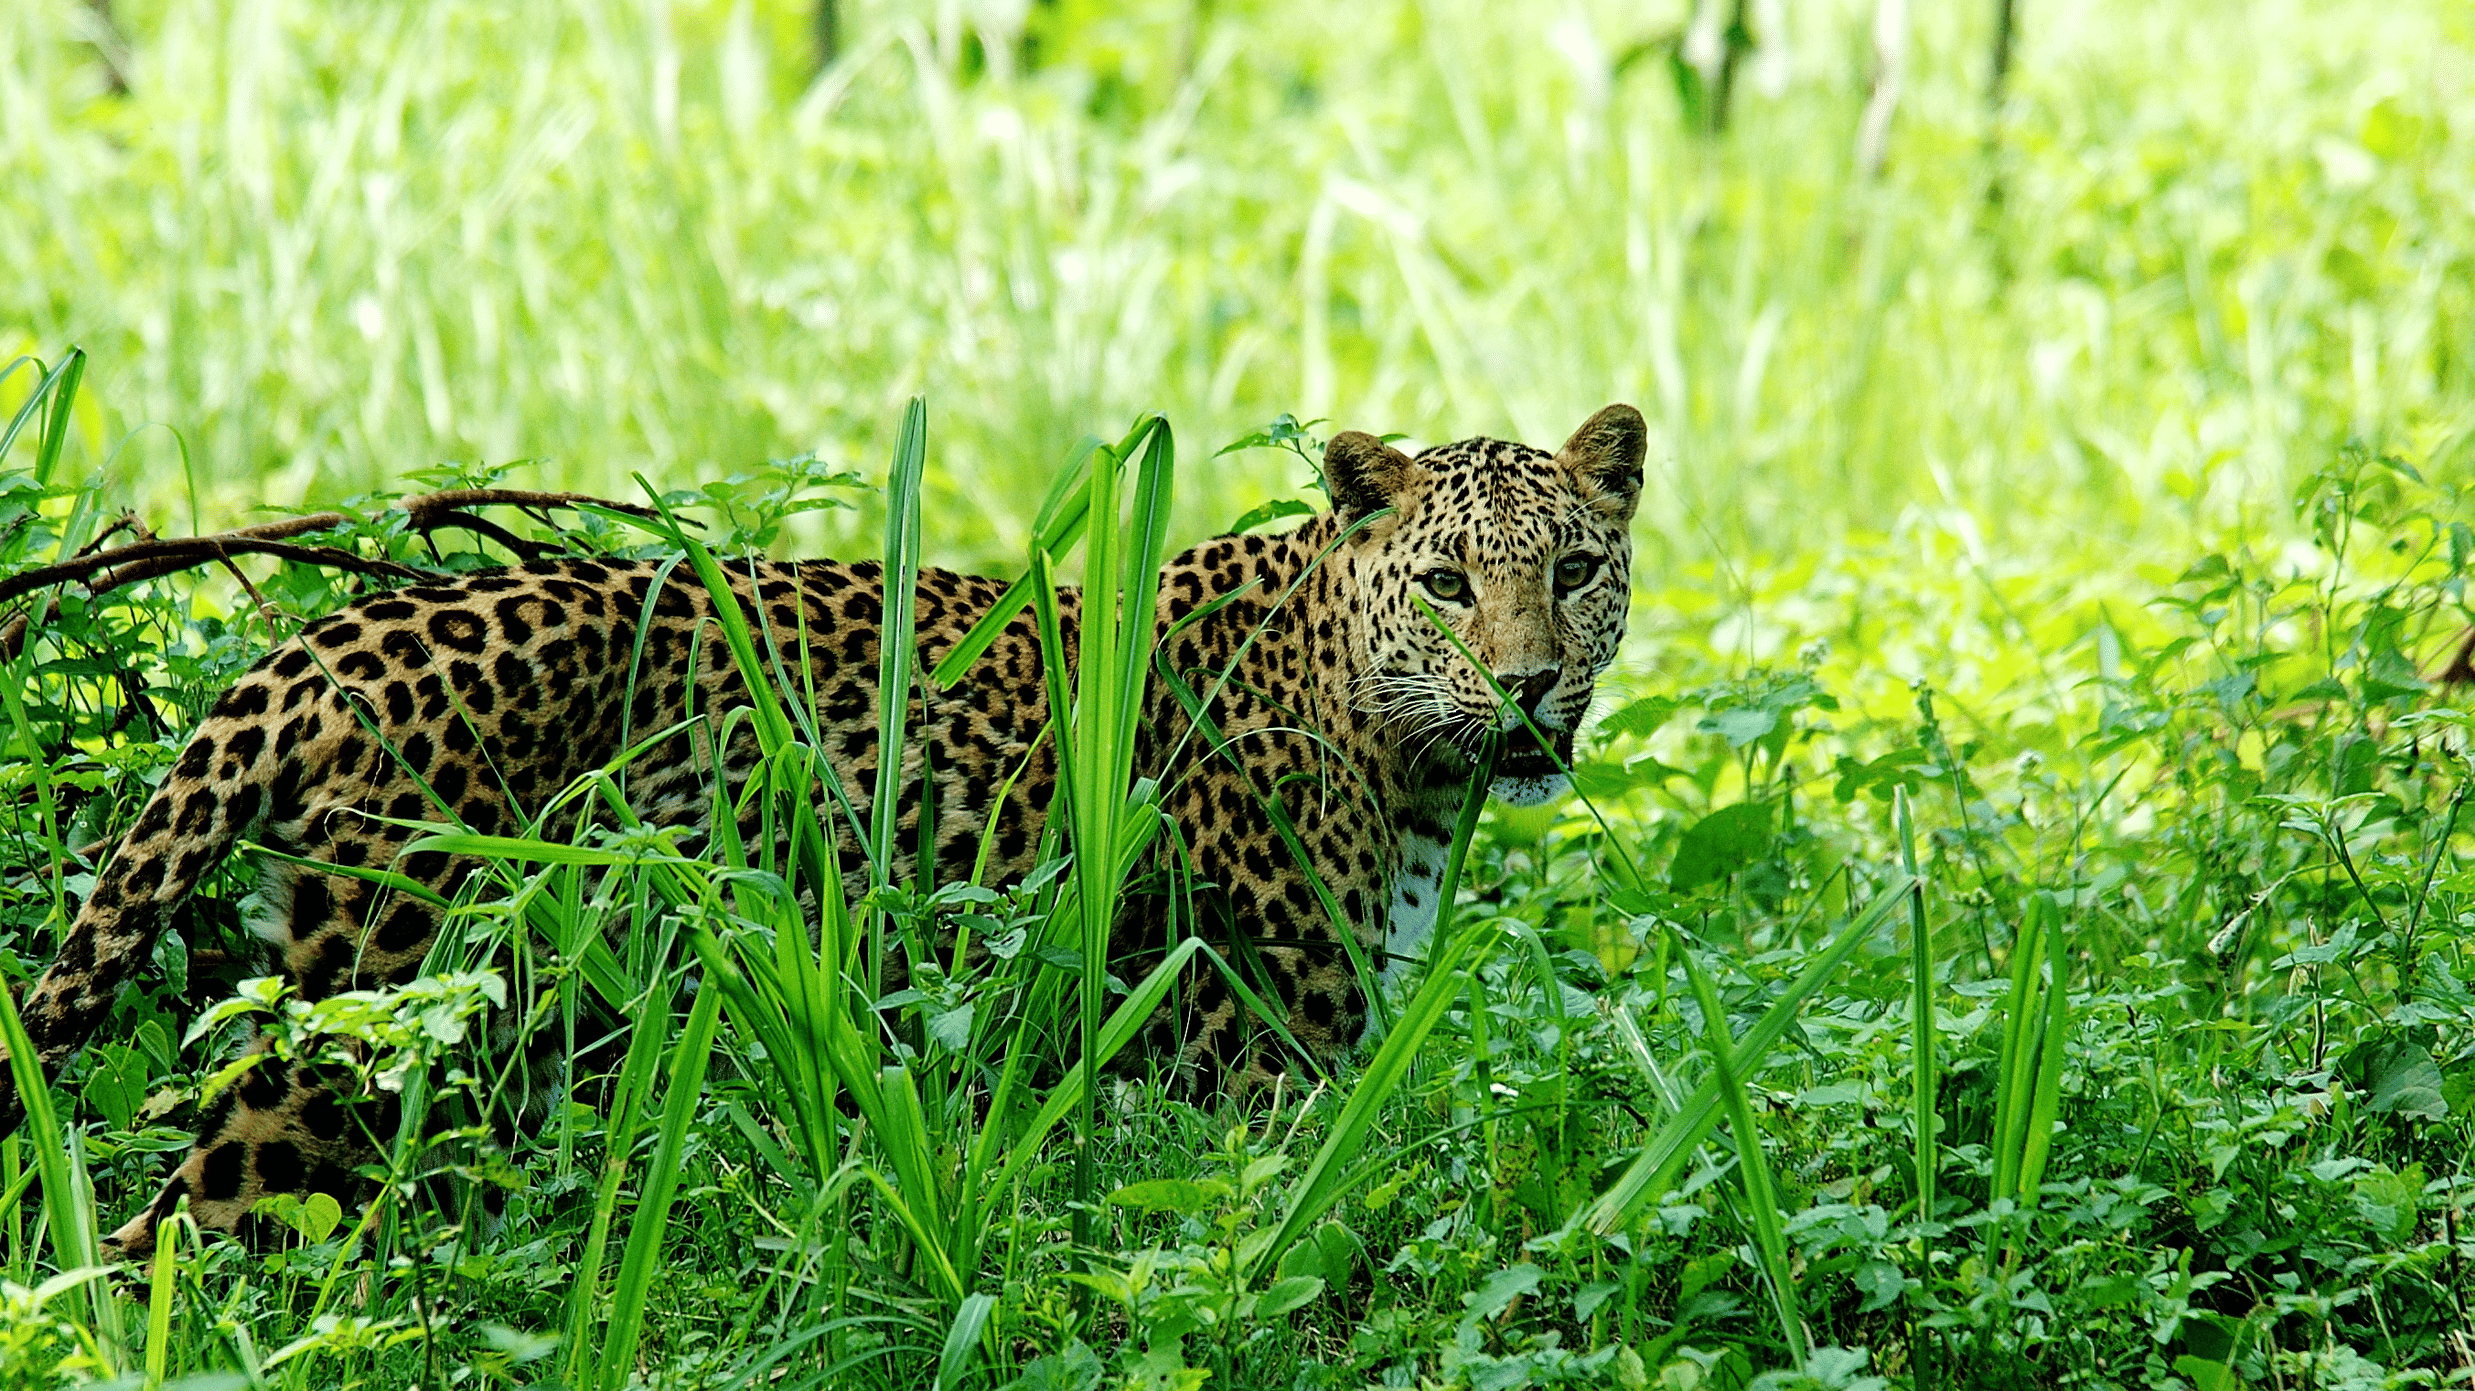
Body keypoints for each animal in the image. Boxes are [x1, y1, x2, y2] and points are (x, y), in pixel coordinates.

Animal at [0, 404, 1645, 1257]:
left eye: (1572, 570)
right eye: (1446, 584)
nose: (1525, 682)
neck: (1402, 756)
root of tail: (342, 629)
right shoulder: (1254, 1065)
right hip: (377, 1030)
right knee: (186, 1230)